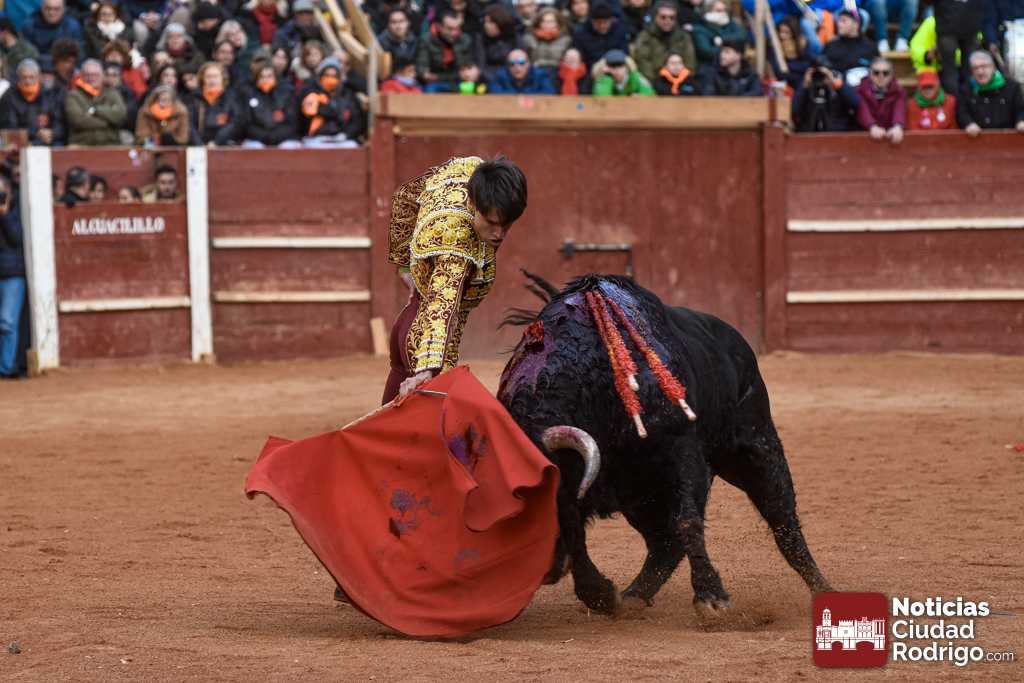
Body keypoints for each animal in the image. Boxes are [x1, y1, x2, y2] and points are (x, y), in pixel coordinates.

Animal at [497, 273, 832, 616]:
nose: (546, 571)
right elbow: (577, 531)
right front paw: (601, 594)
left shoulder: (682, 452)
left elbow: (687, 520)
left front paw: (712, 599)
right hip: (642, 493)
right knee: (663, 542)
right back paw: (634, 594)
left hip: (756, 446)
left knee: (782, 520)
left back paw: (823, 589)